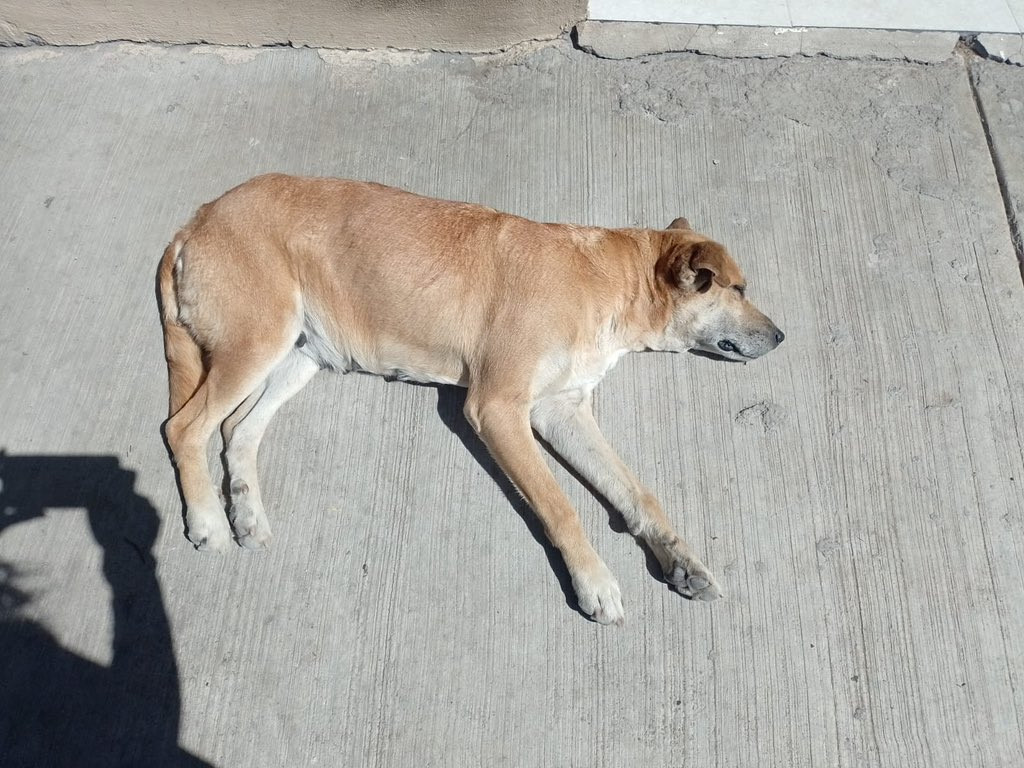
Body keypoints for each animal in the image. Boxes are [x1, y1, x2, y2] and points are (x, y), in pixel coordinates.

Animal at [158, 174, 784, 625]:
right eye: (738, 289)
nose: (781, 336)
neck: (611, 284)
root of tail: (197, 218)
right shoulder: (500, 409)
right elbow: (561, 507)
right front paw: (595, 582)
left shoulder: (561, 411)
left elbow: (637, 493)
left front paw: (681, 559)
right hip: (258, 339)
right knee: (184, 428)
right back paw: (209, 522)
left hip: (304, 353)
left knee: (237, 430)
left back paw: (246, 513)